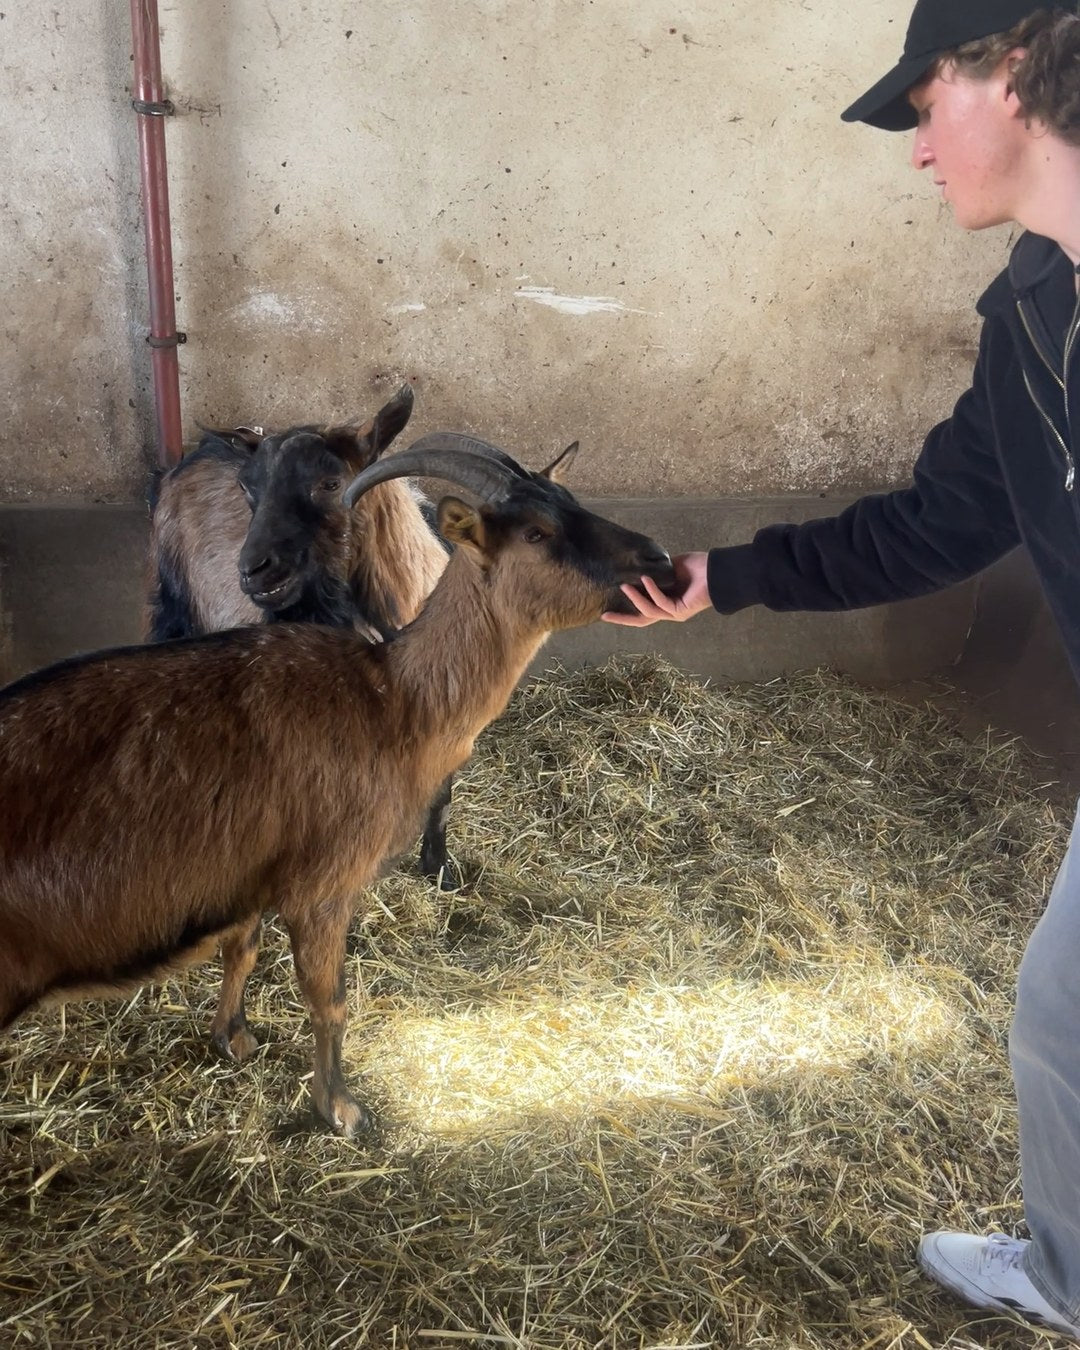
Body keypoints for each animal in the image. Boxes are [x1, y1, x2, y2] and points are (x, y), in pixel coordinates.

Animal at [0, 434, 676, 1137]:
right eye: (538, 533)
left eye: (573, 501)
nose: (662, 561)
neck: (392, 699)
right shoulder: (324, 884)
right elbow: (331, 1000)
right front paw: (341, 1108)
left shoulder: (250, 871)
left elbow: (242, 948)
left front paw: (233, 1036)